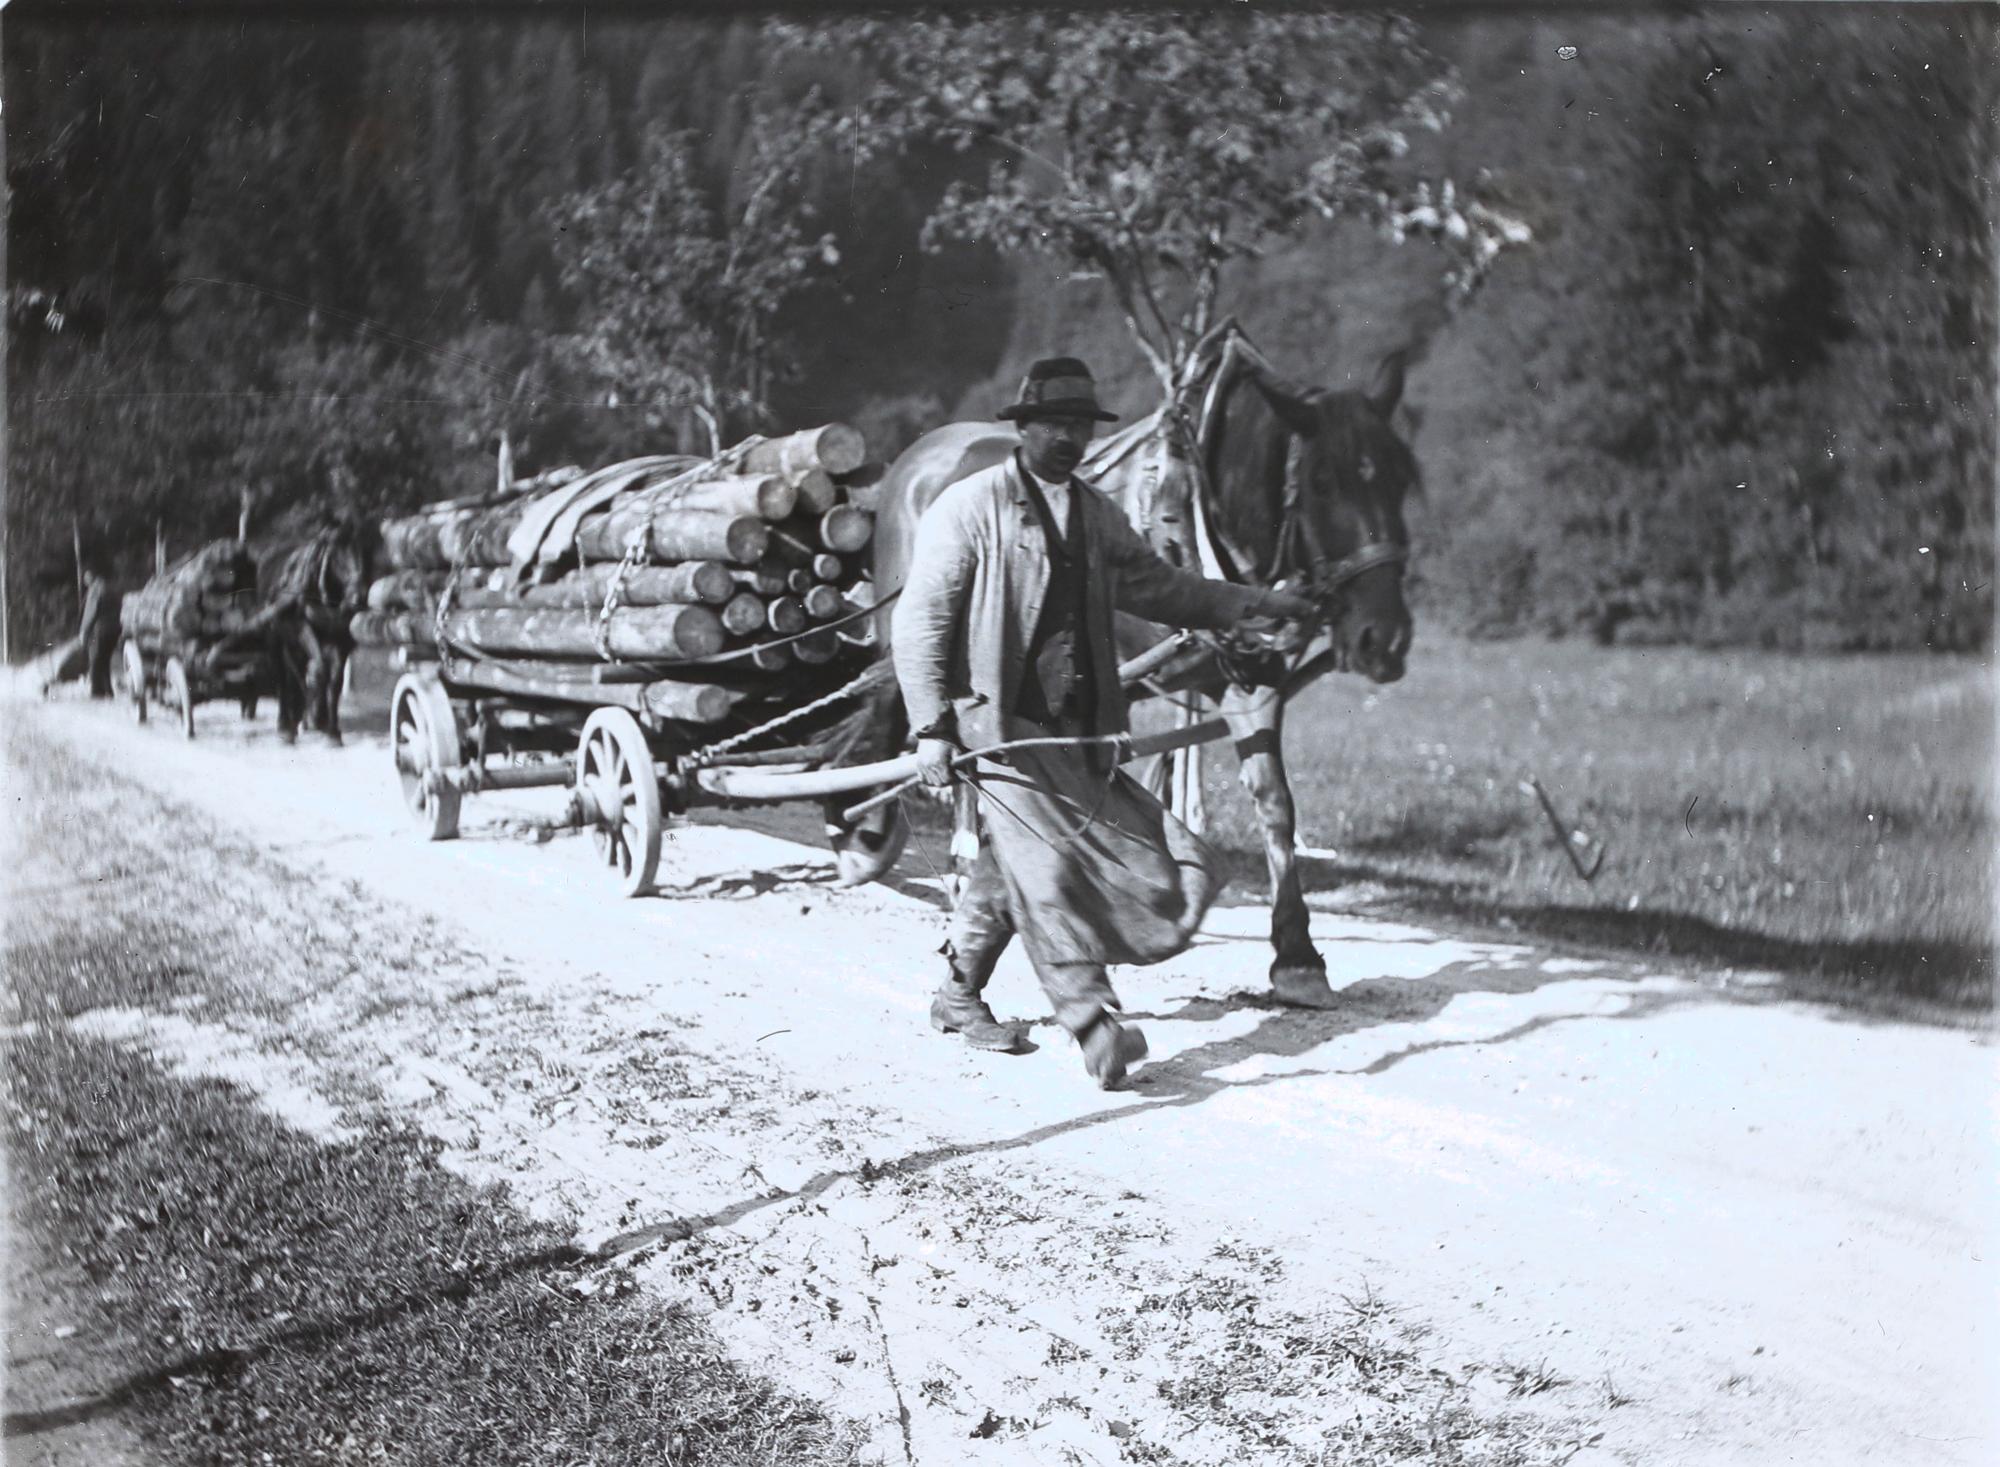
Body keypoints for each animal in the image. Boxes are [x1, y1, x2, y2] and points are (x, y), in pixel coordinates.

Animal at [259, 516, 378, 744]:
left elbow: (335, 680)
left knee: (297, 671)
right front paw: (316, 719)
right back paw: (286, 726)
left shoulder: (341, 640)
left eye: (364, 552)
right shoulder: (304, 631)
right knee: (284, 678)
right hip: (275, 639)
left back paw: (303, 718)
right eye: (338, 553)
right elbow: (321, 669)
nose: (359, 595)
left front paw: (332, 730)